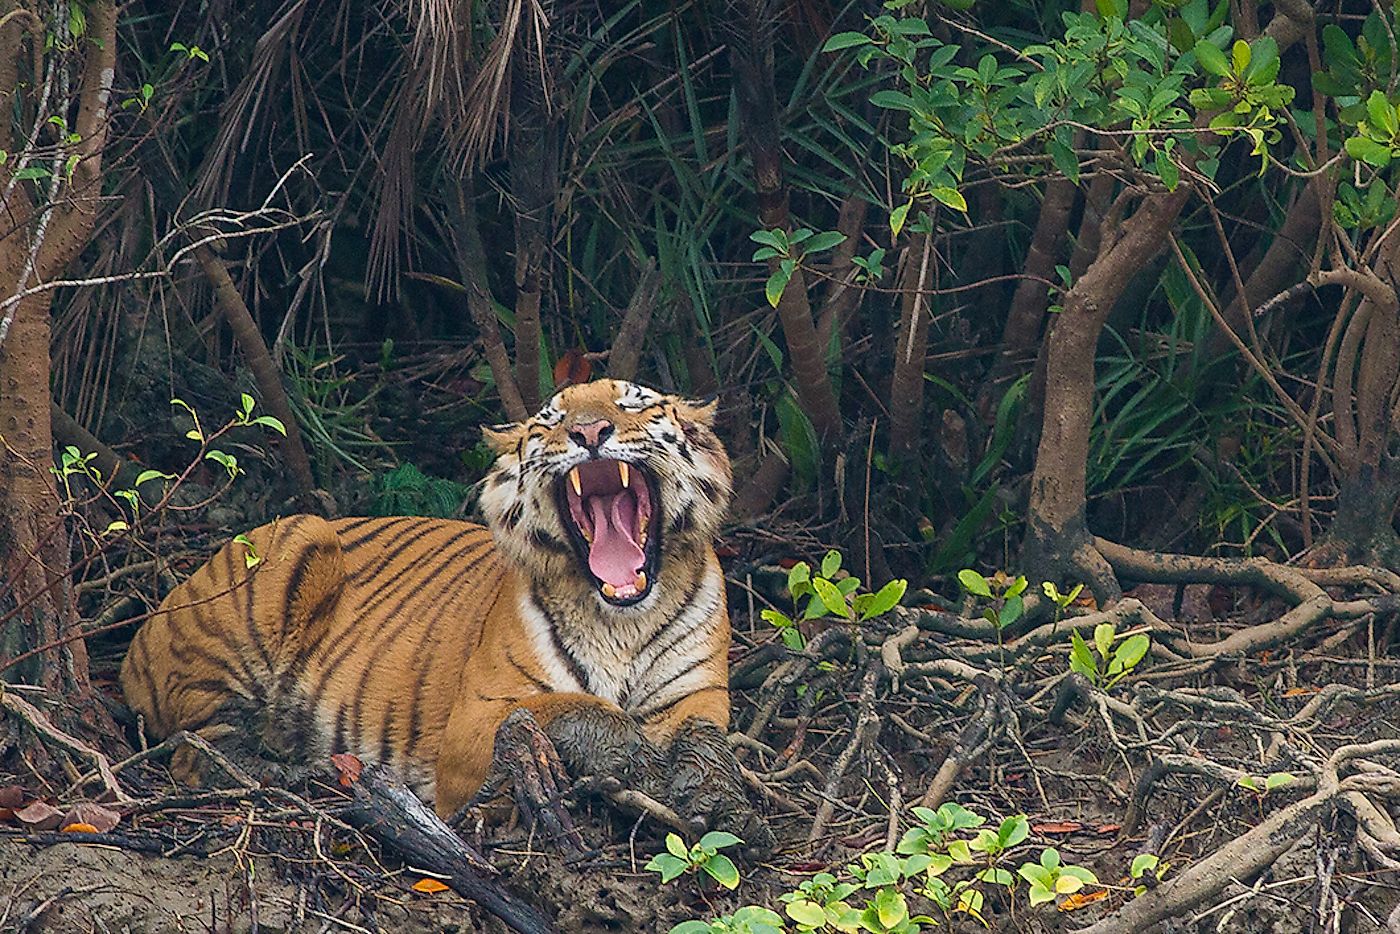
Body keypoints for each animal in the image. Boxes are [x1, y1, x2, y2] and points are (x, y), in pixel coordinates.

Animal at [119, 380, 772, 845]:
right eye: (552, 420)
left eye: (634, 404)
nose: (590, 430)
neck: (621, 619)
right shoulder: (476, 722)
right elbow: (577, 707)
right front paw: (643, 761)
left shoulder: (698, 697)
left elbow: (705, 740)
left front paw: (722, 803)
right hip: (298, 540)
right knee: (196, 746)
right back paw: (285, 769)